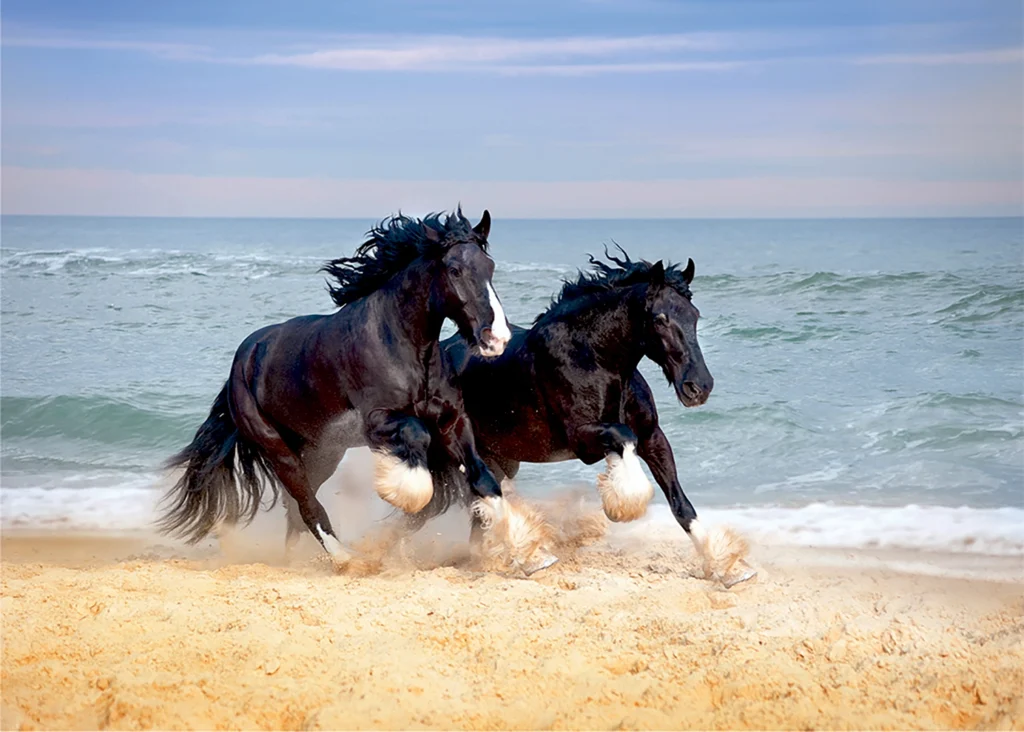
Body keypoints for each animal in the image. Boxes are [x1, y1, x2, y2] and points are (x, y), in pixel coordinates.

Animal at [158, 209, 552, 572]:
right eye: (454, 270)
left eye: (490, 266)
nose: (496, 338)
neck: (404, 346)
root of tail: (243, 361)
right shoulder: (377, 421)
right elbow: (416, 435)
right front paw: (405, 490)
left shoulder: (453, 420)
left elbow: (484, 479)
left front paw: (531, 554)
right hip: (278, 449)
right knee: (307, 504)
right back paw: (346, 558)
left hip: (321, 452)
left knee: (295, 508)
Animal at [415, 248, 755, 586]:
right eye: (660, 318)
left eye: (694, 315)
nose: (699, 387)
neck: (594, 358)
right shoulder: (582, 438)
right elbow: (622, 436)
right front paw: (623, 503)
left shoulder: (653, 436)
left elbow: (680, 503)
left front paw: (727, 568)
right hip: (454, 448)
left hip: (498, 460)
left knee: (480, 511)